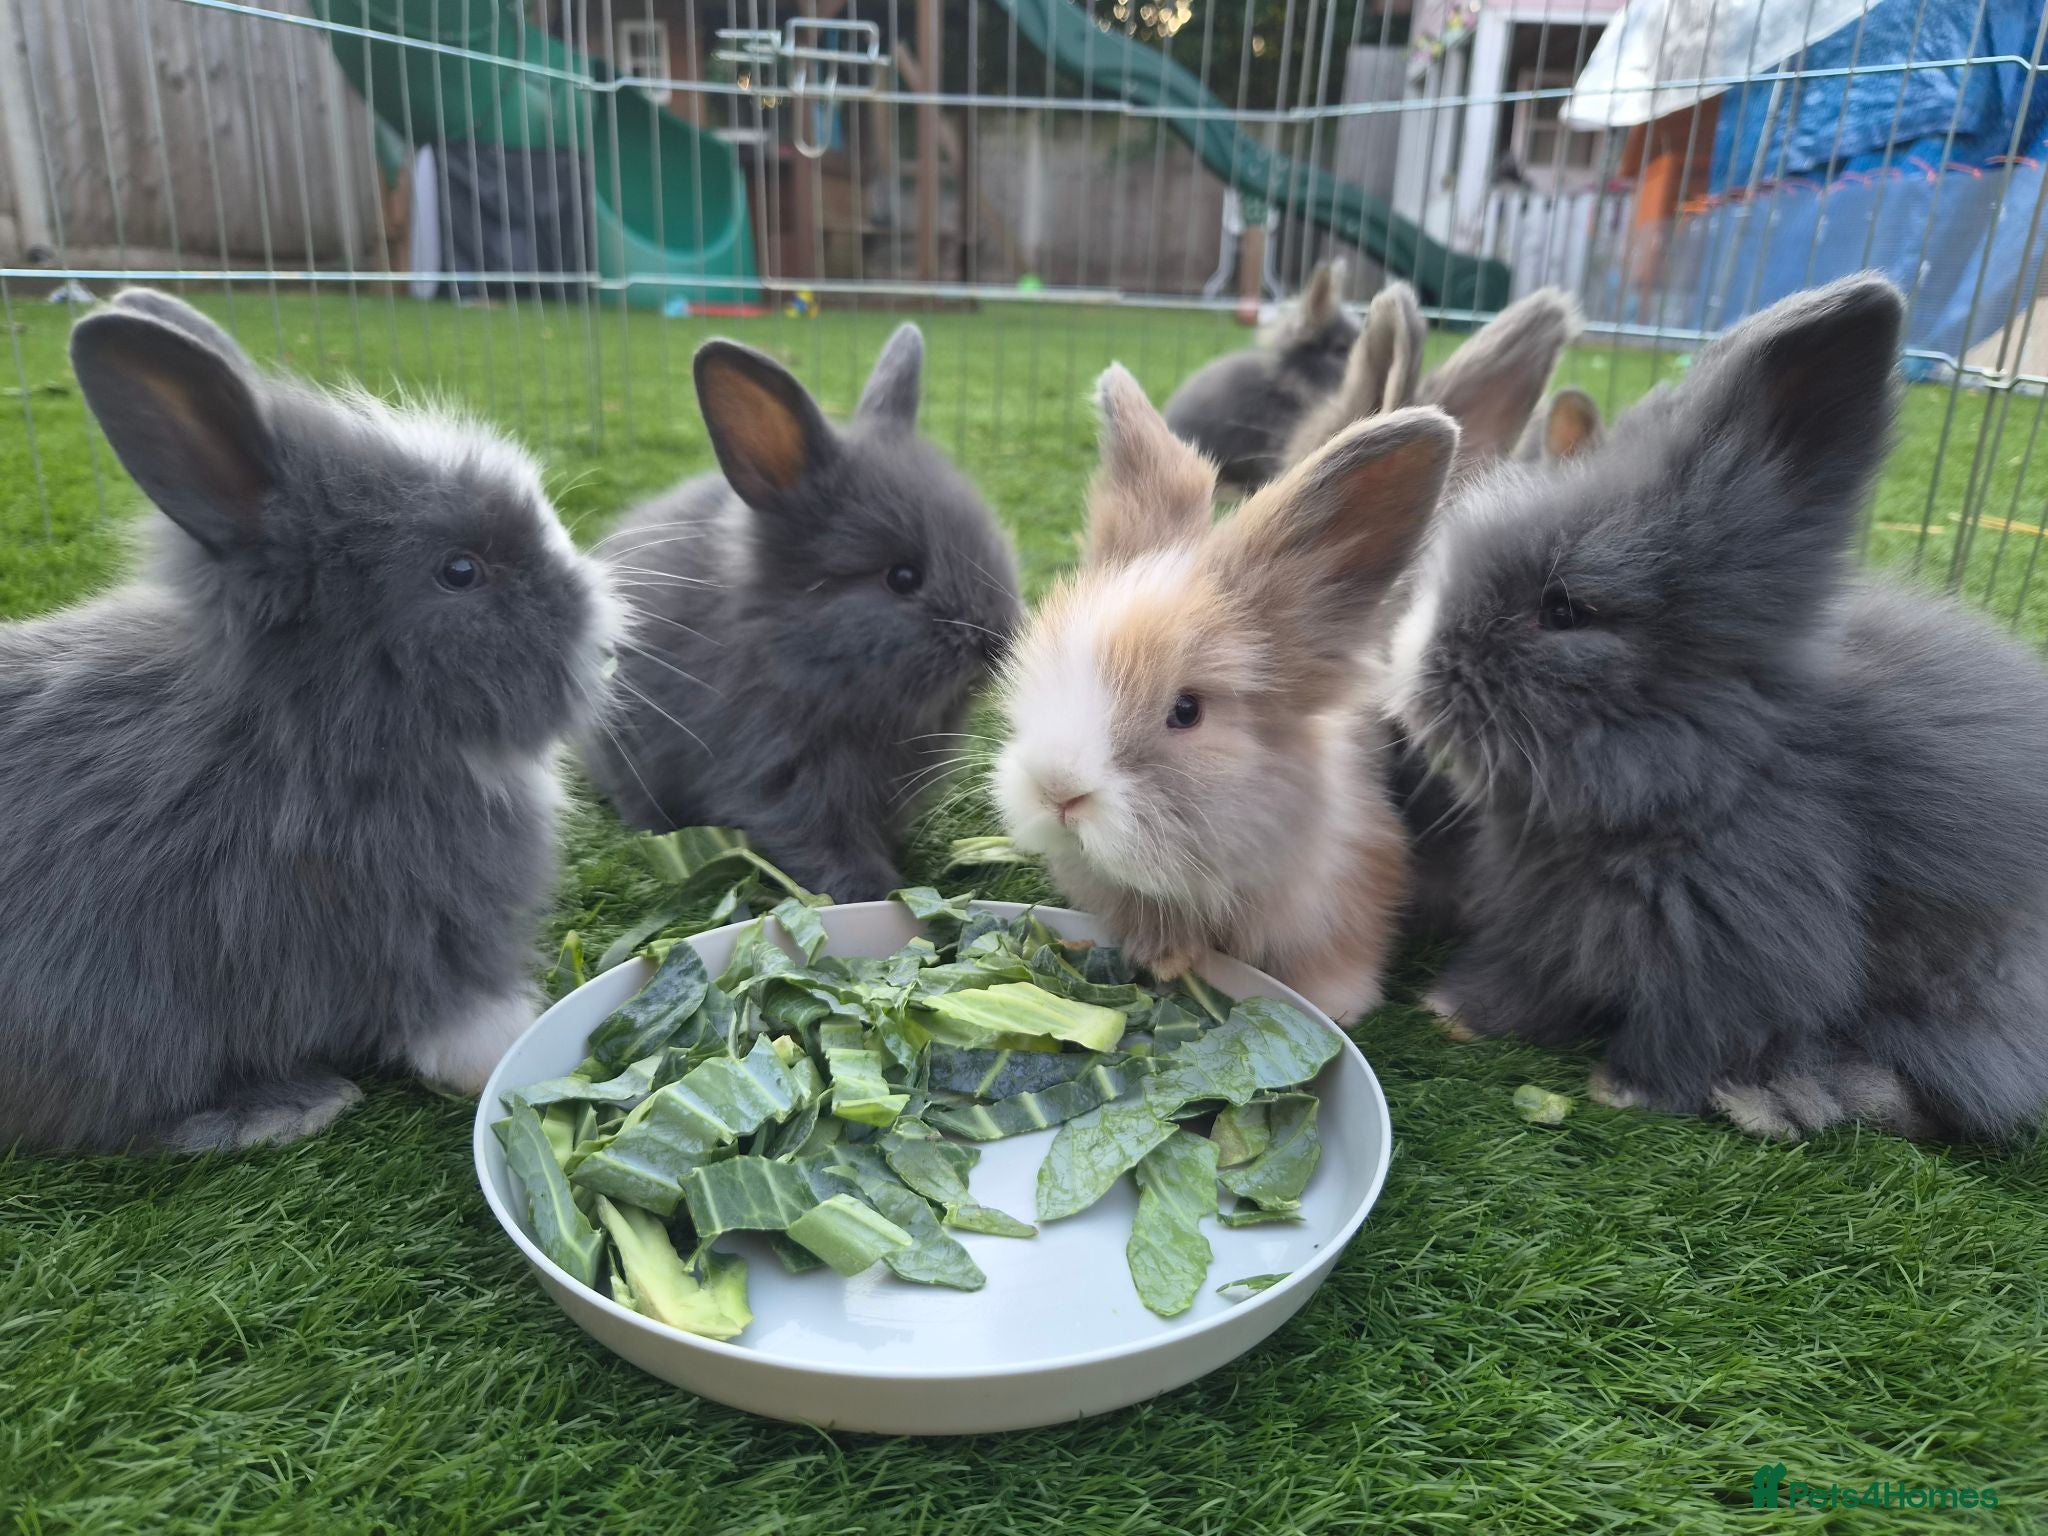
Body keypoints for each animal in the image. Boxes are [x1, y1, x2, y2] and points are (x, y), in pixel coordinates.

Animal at [0, 289, 618, 1154]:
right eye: (460, 570)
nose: (609, 649)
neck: (311, 725)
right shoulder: (422, 924)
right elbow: (462, 1019)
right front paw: (503, 1058)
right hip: (105, 1016)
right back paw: (287, 1107)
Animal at [1386, 273, 2048, 1141]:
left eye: (1566, 611)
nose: (1409, 666)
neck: (1716, 760)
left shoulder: (1737, 953)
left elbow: (1692, 1032)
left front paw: (1623, 1091)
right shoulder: (1542, 927)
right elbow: (1523, 980)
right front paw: (1454, 1013)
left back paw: (1777, 1098)